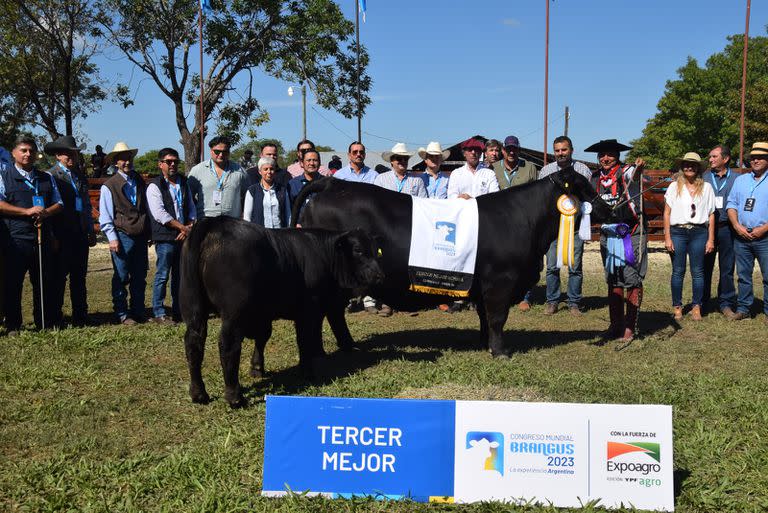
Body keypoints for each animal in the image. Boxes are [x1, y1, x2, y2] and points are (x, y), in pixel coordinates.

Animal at [179, 217, 384, 408]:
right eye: (358, 250)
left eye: (376, 251)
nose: (379, 275)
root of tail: (215, 221)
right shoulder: (307, 311)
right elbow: (305, 340)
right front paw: (307, 371)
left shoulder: (266, 314)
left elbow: (264, 337)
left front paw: (257, 368)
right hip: (233, 314)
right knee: (228, 346)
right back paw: (235, 397)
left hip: (194, 308)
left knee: (194, 343)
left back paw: (198, 394)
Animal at [294, 167, 616, 356]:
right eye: (584, 188)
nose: (609, 209)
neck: (522, 220)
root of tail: (332, 183)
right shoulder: (501, 281)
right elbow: (497, 317)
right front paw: (500, 352)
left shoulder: (485, 285)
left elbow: (485, 317)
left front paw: (484, 344)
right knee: (331, 312)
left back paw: (349, 346)